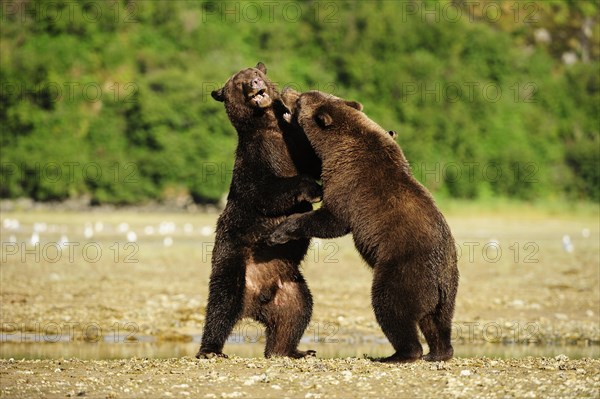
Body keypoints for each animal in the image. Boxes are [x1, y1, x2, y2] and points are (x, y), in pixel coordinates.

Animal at [197, 64, 322, 360]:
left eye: (256, 72)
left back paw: (293, 351)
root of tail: (255, 303)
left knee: (297, 312)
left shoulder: (294, 145)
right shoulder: (255, 159)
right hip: (233, 262)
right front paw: (311, 189)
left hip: (289, 285)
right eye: (238, 82)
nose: (254, 82)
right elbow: (264, 192)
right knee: (222, 303)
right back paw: (210, 349)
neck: (270, 127)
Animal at [268, 89, 460, 364]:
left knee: (391, 306)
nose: (287, 91)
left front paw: (279, 231)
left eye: (301, 99)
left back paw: (397, 354)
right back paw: (438, 352)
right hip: (448, 287)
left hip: (404, 269)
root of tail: (439, 276)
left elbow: (333, 220)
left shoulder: (349, 182)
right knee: (437, 320)